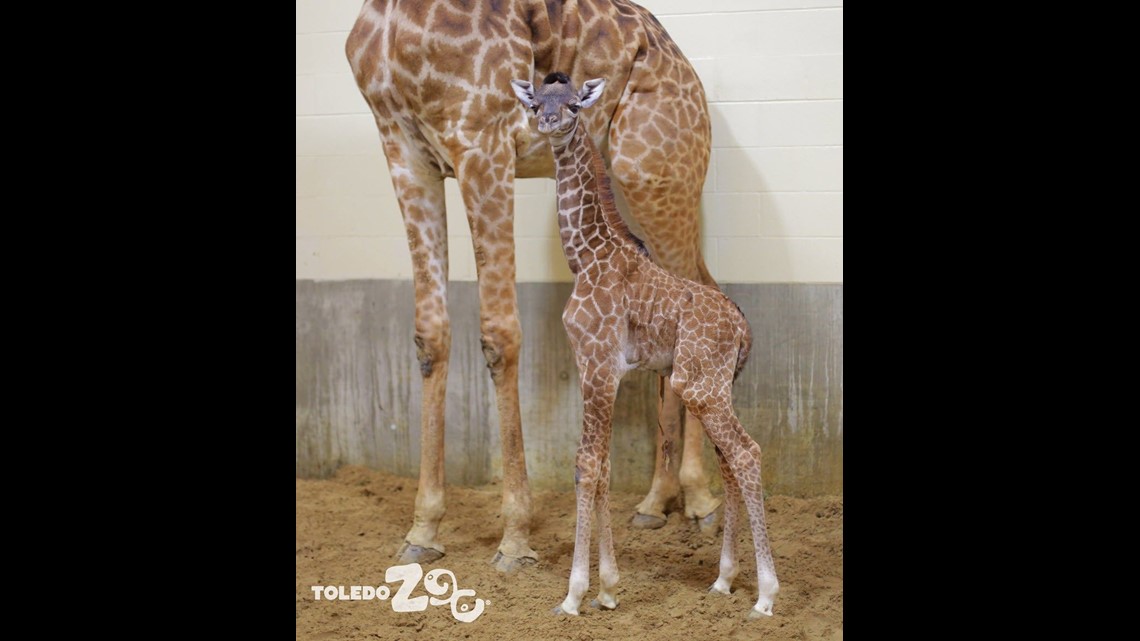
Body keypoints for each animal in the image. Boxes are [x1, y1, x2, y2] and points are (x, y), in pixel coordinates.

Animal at [344, 0, 720, 568]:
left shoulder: (483, 140)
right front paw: (422, 531)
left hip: (656, 172)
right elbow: (430, 334)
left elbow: (499, 334)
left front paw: (516, 537)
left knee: (698, 291)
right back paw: (656, 502)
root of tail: (688, 71)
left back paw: (699, 501)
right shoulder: (404, 149)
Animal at [513, 72, 779, 615]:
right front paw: (609, 589)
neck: (584, 258)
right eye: (538, 101)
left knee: (746, 452)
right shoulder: (606, 372)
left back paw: (765, 595)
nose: (547, 121)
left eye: (574, 105)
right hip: (714, 385)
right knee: (729, 460)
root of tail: (744, 331)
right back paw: (723, 580)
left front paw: (574, 594)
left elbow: (586, 464)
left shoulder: (595, 364)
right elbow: (605, 467)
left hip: (697, 384)